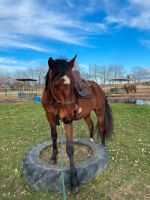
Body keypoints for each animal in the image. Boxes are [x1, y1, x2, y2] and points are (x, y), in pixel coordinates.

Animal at [41, 54, 113, 192]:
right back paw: (91, 140)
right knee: (91, 125)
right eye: (56, 85)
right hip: (86, 114)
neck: (54, 101)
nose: (71, 113)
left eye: (74, 84)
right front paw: (53, 157)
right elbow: (54, 136)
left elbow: (70, 148)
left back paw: (103, 146)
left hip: (100, 112)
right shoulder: (50, 117)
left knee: (102, 128)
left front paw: (74, 180)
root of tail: (99, 87)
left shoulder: (67, 121)